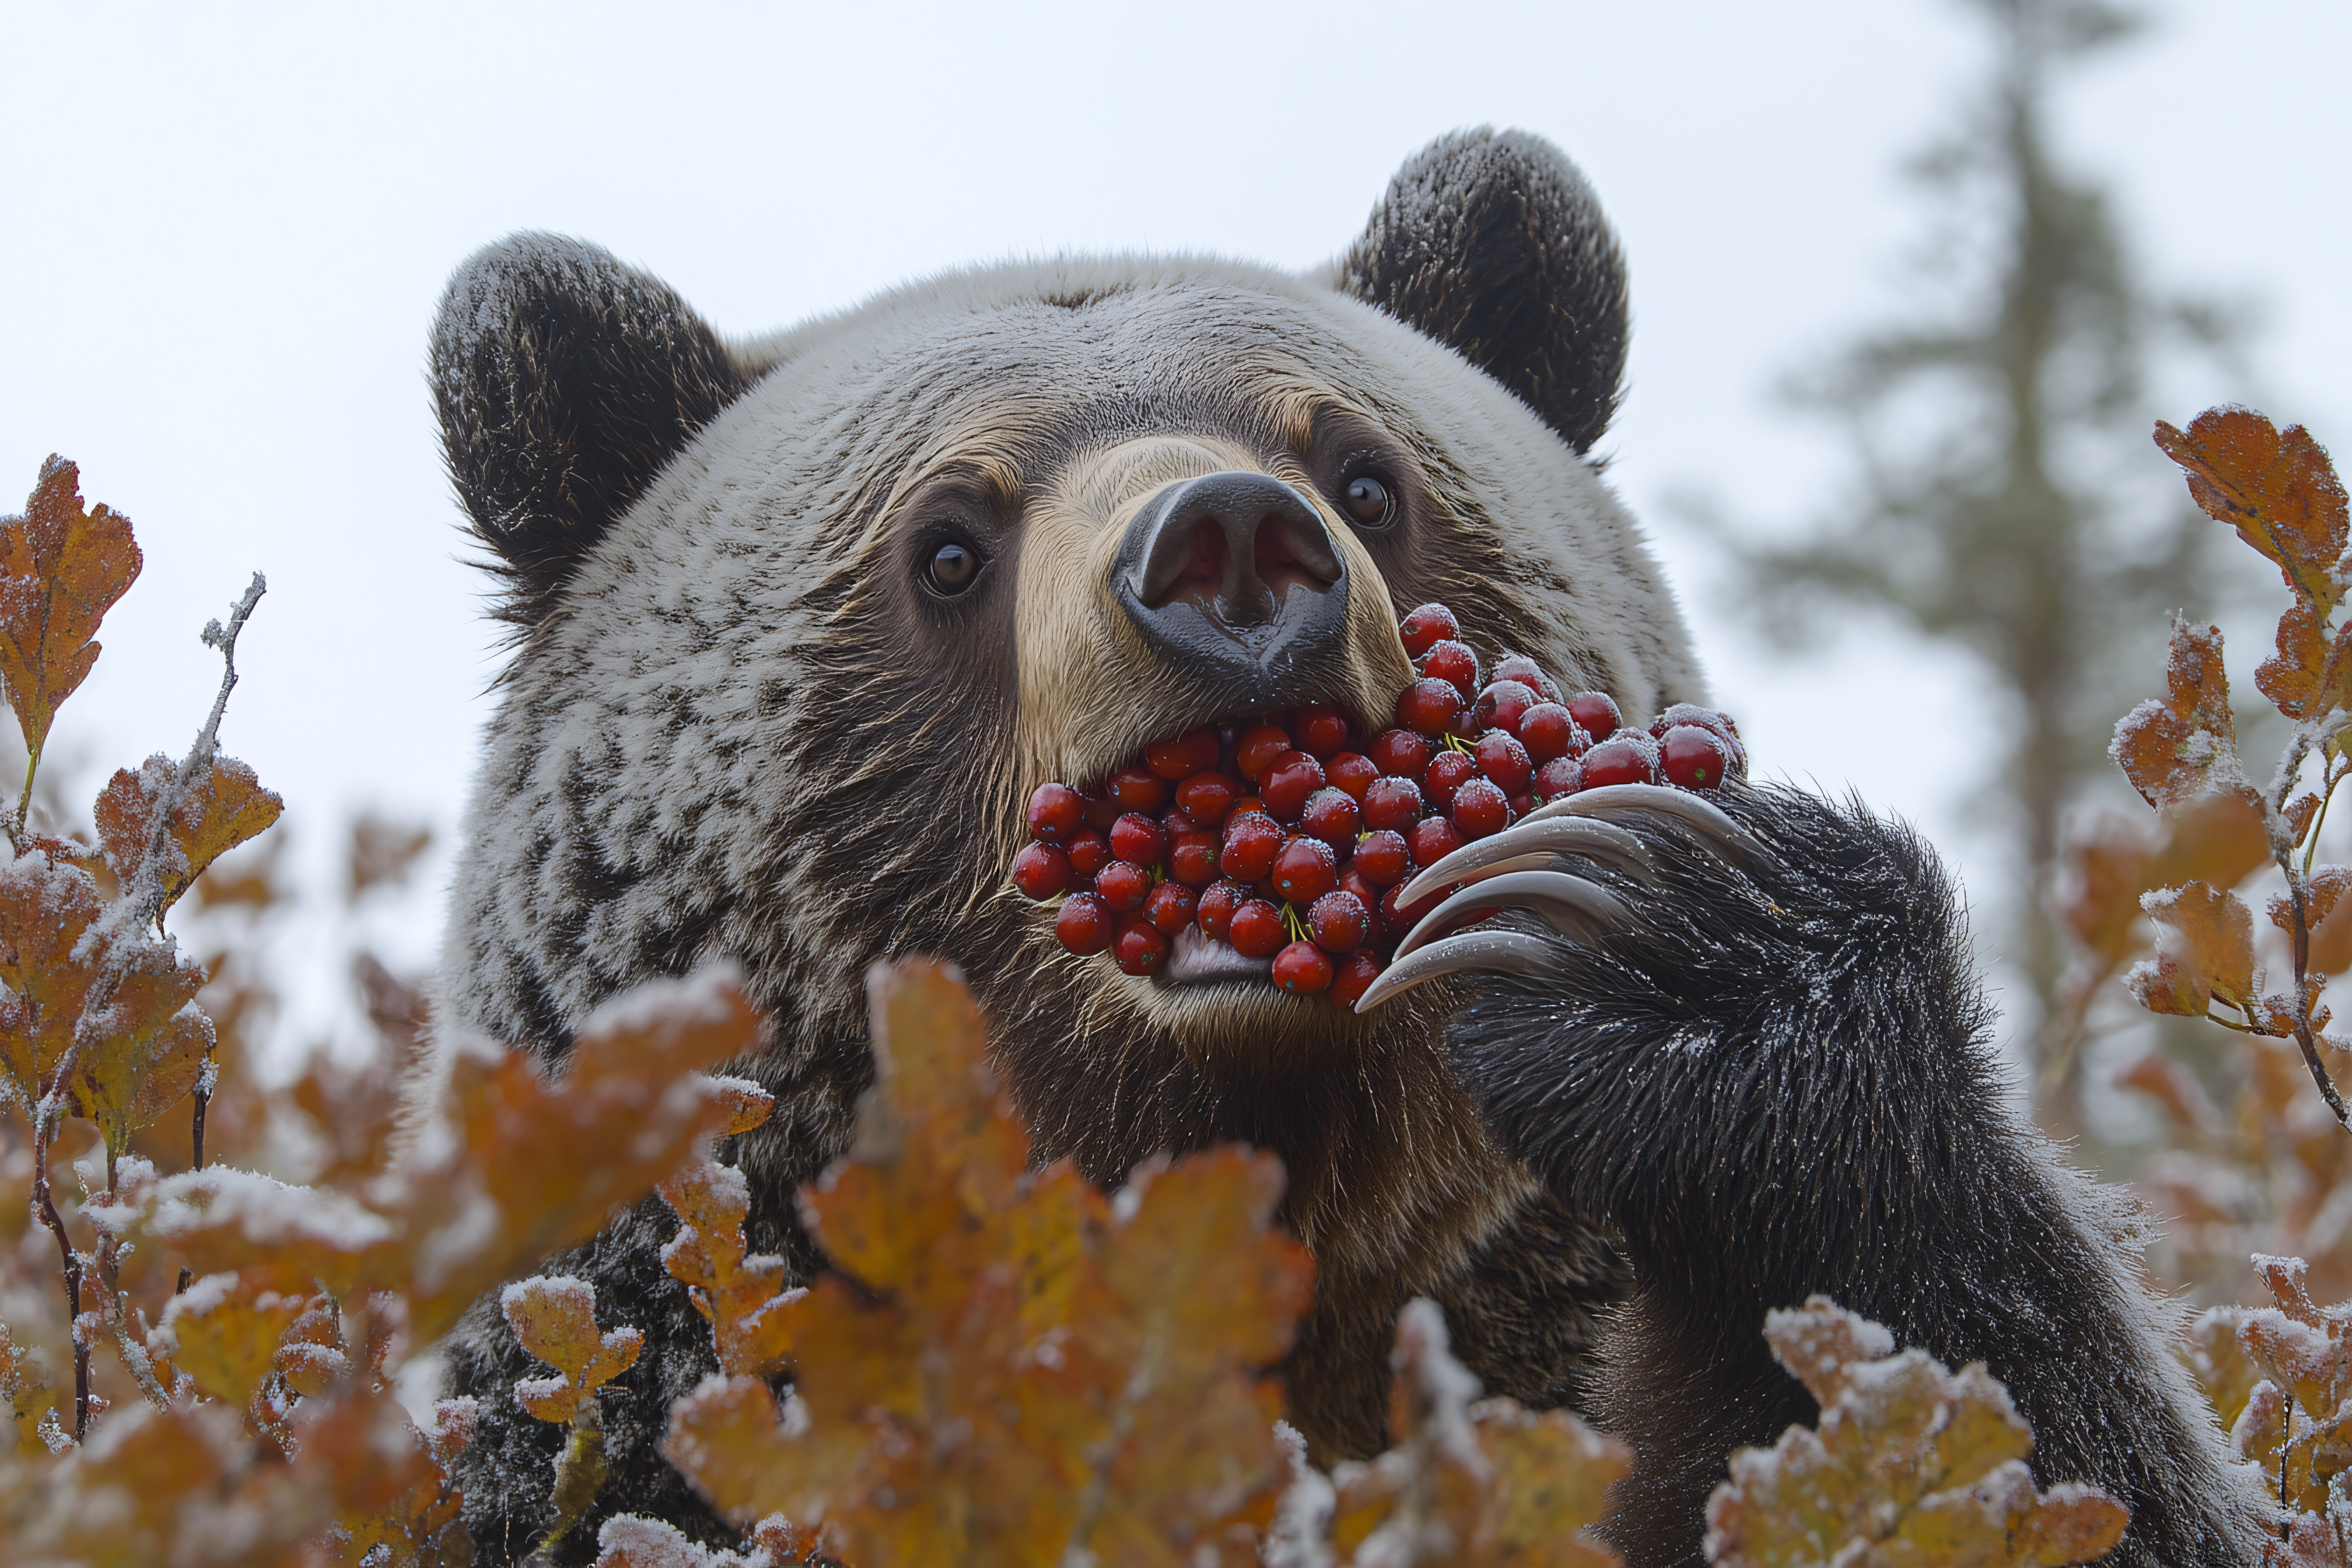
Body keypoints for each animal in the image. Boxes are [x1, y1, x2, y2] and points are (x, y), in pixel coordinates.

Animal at [427, 128, 2260, 1566]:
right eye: (946, 543)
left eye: (1368, 473)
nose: (1230, 547)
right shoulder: (608, 1421)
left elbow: (2016, 1434)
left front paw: (1668, 931)